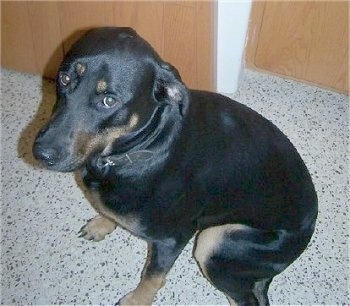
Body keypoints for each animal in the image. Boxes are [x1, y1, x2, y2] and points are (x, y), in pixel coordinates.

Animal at [32, 27, 318, 304]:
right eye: (64, 79)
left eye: (108, 101)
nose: (40, 152)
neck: (144, 143)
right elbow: (108, 212)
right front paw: (102, 223)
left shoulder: (173, 238)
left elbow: (152, 277)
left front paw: (136, 301)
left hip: (213, 242)